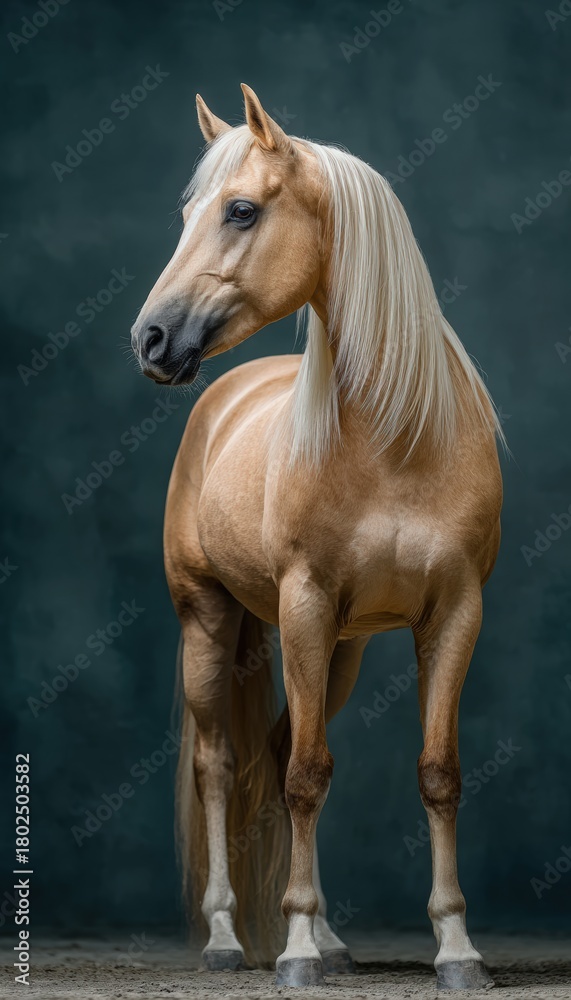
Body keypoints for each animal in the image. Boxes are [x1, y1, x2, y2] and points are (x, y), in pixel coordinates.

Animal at [131, 84, 503, 991]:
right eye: (187, 212)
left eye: (238, 210)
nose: (149, 339)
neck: (399, 443)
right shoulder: (302, 605)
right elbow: (305, 777)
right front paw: (295, 950)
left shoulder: (453, 614)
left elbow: (435, 775)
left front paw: (456, 949)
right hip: (211, 621)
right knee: (223, 764)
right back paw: (229, 937)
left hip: (339, 649)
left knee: (275, 746)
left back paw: (333, 938)